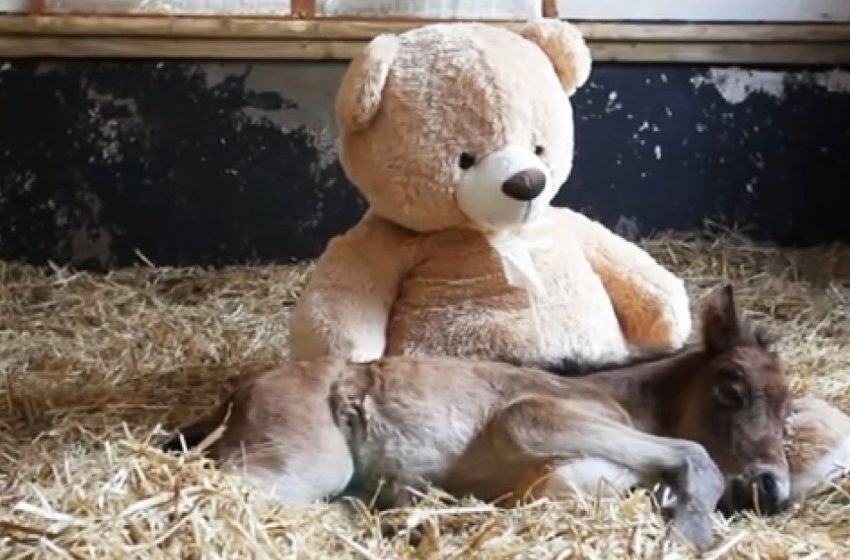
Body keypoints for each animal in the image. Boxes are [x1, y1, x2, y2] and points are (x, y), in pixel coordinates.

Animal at [162, 286, 784, 548]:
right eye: (731, 386)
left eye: (788, 411)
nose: (773, 490)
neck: (623, 400)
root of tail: (237, 395)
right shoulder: (531, 418)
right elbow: (692, 457)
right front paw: (690, 531)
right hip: (303, 464)